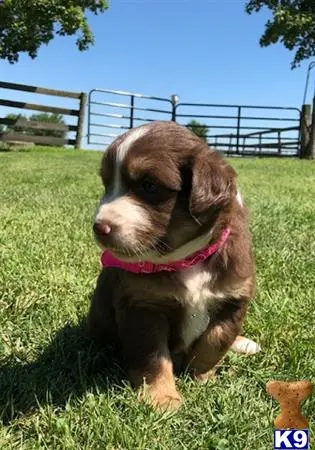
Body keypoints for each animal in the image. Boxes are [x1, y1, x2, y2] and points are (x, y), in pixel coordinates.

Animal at [88, 121, 260, 410]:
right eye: (106, 184)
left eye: (149, 185)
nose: (99, 227)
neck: (187, 258)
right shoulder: (142, 306)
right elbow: (154, 357)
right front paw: (163, 399)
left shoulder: (234, 298)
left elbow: (216, 338)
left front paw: (200, 375)